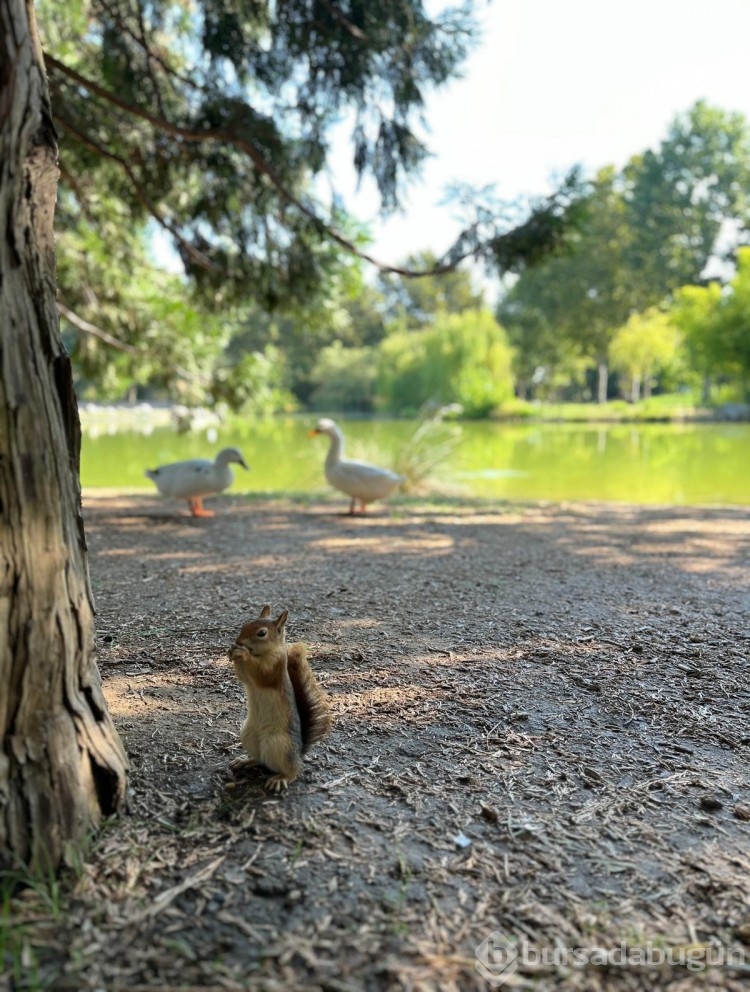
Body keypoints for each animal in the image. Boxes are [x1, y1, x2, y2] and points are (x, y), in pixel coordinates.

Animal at [229, 604, 332, 792]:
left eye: (262, 633)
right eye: (245, 624)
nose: (239, 642)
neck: (262, 653)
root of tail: (299, 753)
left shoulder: (274, 667)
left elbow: (261, 674)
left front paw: (243, 654)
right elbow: (243, 676)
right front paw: (232, 651)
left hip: (279, 744)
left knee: (292, 770)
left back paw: (281, 778)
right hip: (249, 735)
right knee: (260, 760)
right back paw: (244, 761)